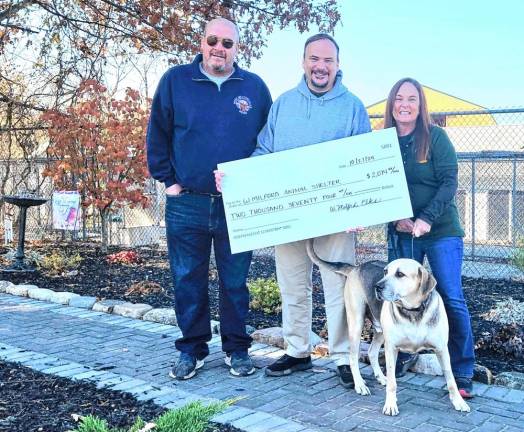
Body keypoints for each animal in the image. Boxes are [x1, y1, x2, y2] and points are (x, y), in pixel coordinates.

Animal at [302, 243, 470, 416]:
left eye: (400, 274)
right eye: (385, 272)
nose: (377, 286)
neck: (413, 311)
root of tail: (357, 267)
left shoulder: (441, 349)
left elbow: (450, 378)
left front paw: (459, 401)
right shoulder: (391, 348)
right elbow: (392, 382)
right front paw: (390, 404)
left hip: (380, 331)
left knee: (371, 352)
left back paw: (380, 377)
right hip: (356, 324)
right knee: (353, 357)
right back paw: (360, 384)